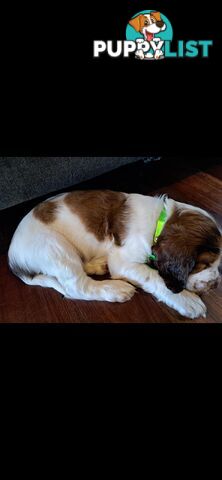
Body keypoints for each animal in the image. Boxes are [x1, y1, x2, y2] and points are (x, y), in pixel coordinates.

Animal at [7, 190, 221, 318]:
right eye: (204, 264)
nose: (215, 285)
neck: (160, 221)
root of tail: (12, 258)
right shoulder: (124, 261)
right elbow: (154, 276)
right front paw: (187, 299)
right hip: (55, 247)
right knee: (76, 287)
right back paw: (115, 289)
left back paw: (98, 264)